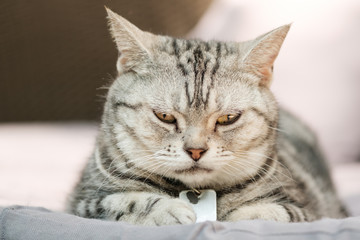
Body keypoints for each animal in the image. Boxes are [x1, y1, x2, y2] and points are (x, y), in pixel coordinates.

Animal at [66, 7, 348, 225]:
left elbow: (273, 212)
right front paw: (171, 210)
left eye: (227, 119)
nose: (195, 150)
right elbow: (125, 202)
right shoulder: (84, 201)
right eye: (165, 116)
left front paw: (234, 218)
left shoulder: (308, 209)